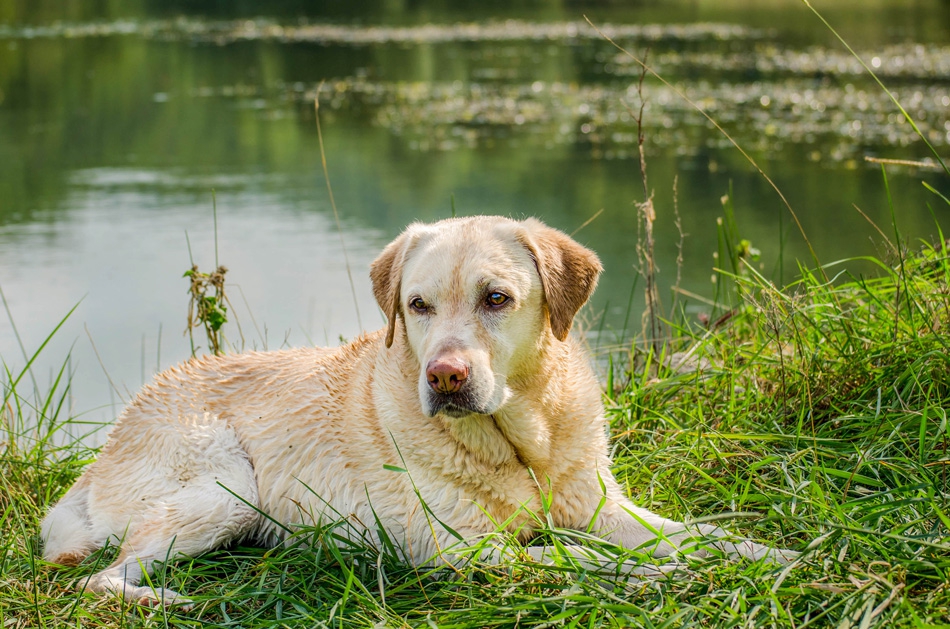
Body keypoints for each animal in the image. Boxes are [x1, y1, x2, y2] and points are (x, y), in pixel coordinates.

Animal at [42, 215, 796, 604]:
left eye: (497, 298)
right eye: (419, 305)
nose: (445, 375)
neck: (522, 444)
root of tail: (108, 444)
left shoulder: (603, 507)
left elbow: (704, 534)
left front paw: (777, 553)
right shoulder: (465, 549)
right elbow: (586, 561)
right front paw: (665, 575)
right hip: (226, 488)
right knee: (101, 578)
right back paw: (165, 599)